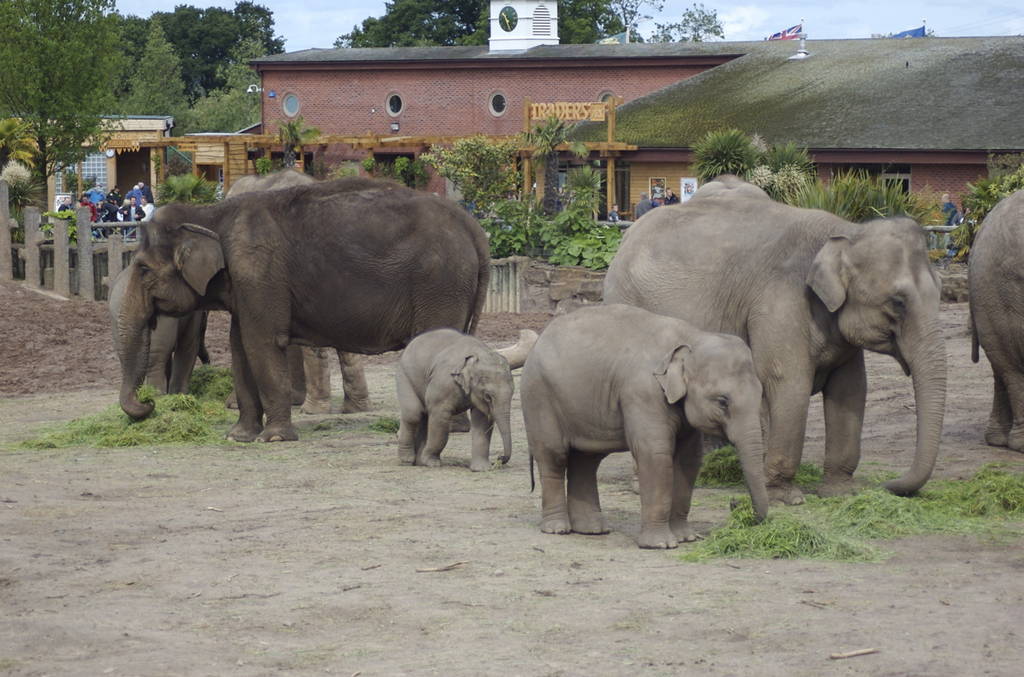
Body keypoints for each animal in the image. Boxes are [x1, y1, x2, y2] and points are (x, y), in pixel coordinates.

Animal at [111, 176, 490, 442]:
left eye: (142, 269)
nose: (149, 404)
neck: (212, 213)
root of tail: (473, 228)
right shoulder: (246, 286)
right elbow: (240, 347)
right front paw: (238, 436)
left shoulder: (258, 271)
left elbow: (262, 344)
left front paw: (274, 438)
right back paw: (455, 426)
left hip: (440, 283)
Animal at [396, 329, 514, 471]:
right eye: (488, 396)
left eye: (513, 392)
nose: (499, 458)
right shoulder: (444, 384)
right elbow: (440, 418)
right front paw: (432, 463)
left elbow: (482, 420)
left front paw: (481, 469)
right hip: (404, 375)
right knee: (413, 414)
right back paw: (407, 460)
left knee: (425, 416)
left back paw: (419, 462)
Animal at [521, 304, 769, 549]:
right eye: (722, 401)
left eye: (760, 394)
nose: (737, 506)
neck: (692, 337)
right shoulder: (642, 392)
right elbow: (655, 454)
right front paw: (661, 544)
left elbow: (689, 459)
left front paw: (685, 538)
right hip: (539, 397)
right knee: (554, 455)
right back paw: (557, 528)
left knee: (586, 460)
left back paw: (592, 529)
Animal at [605, 175, 947, 504]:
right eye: (898, 302)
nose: (890, 485)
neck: (847, 232)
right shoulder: (779, 304)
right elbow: (788, 382)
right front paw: (786, 497)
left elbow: (851, 389)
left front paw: (841, 493)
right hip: (628, 300)